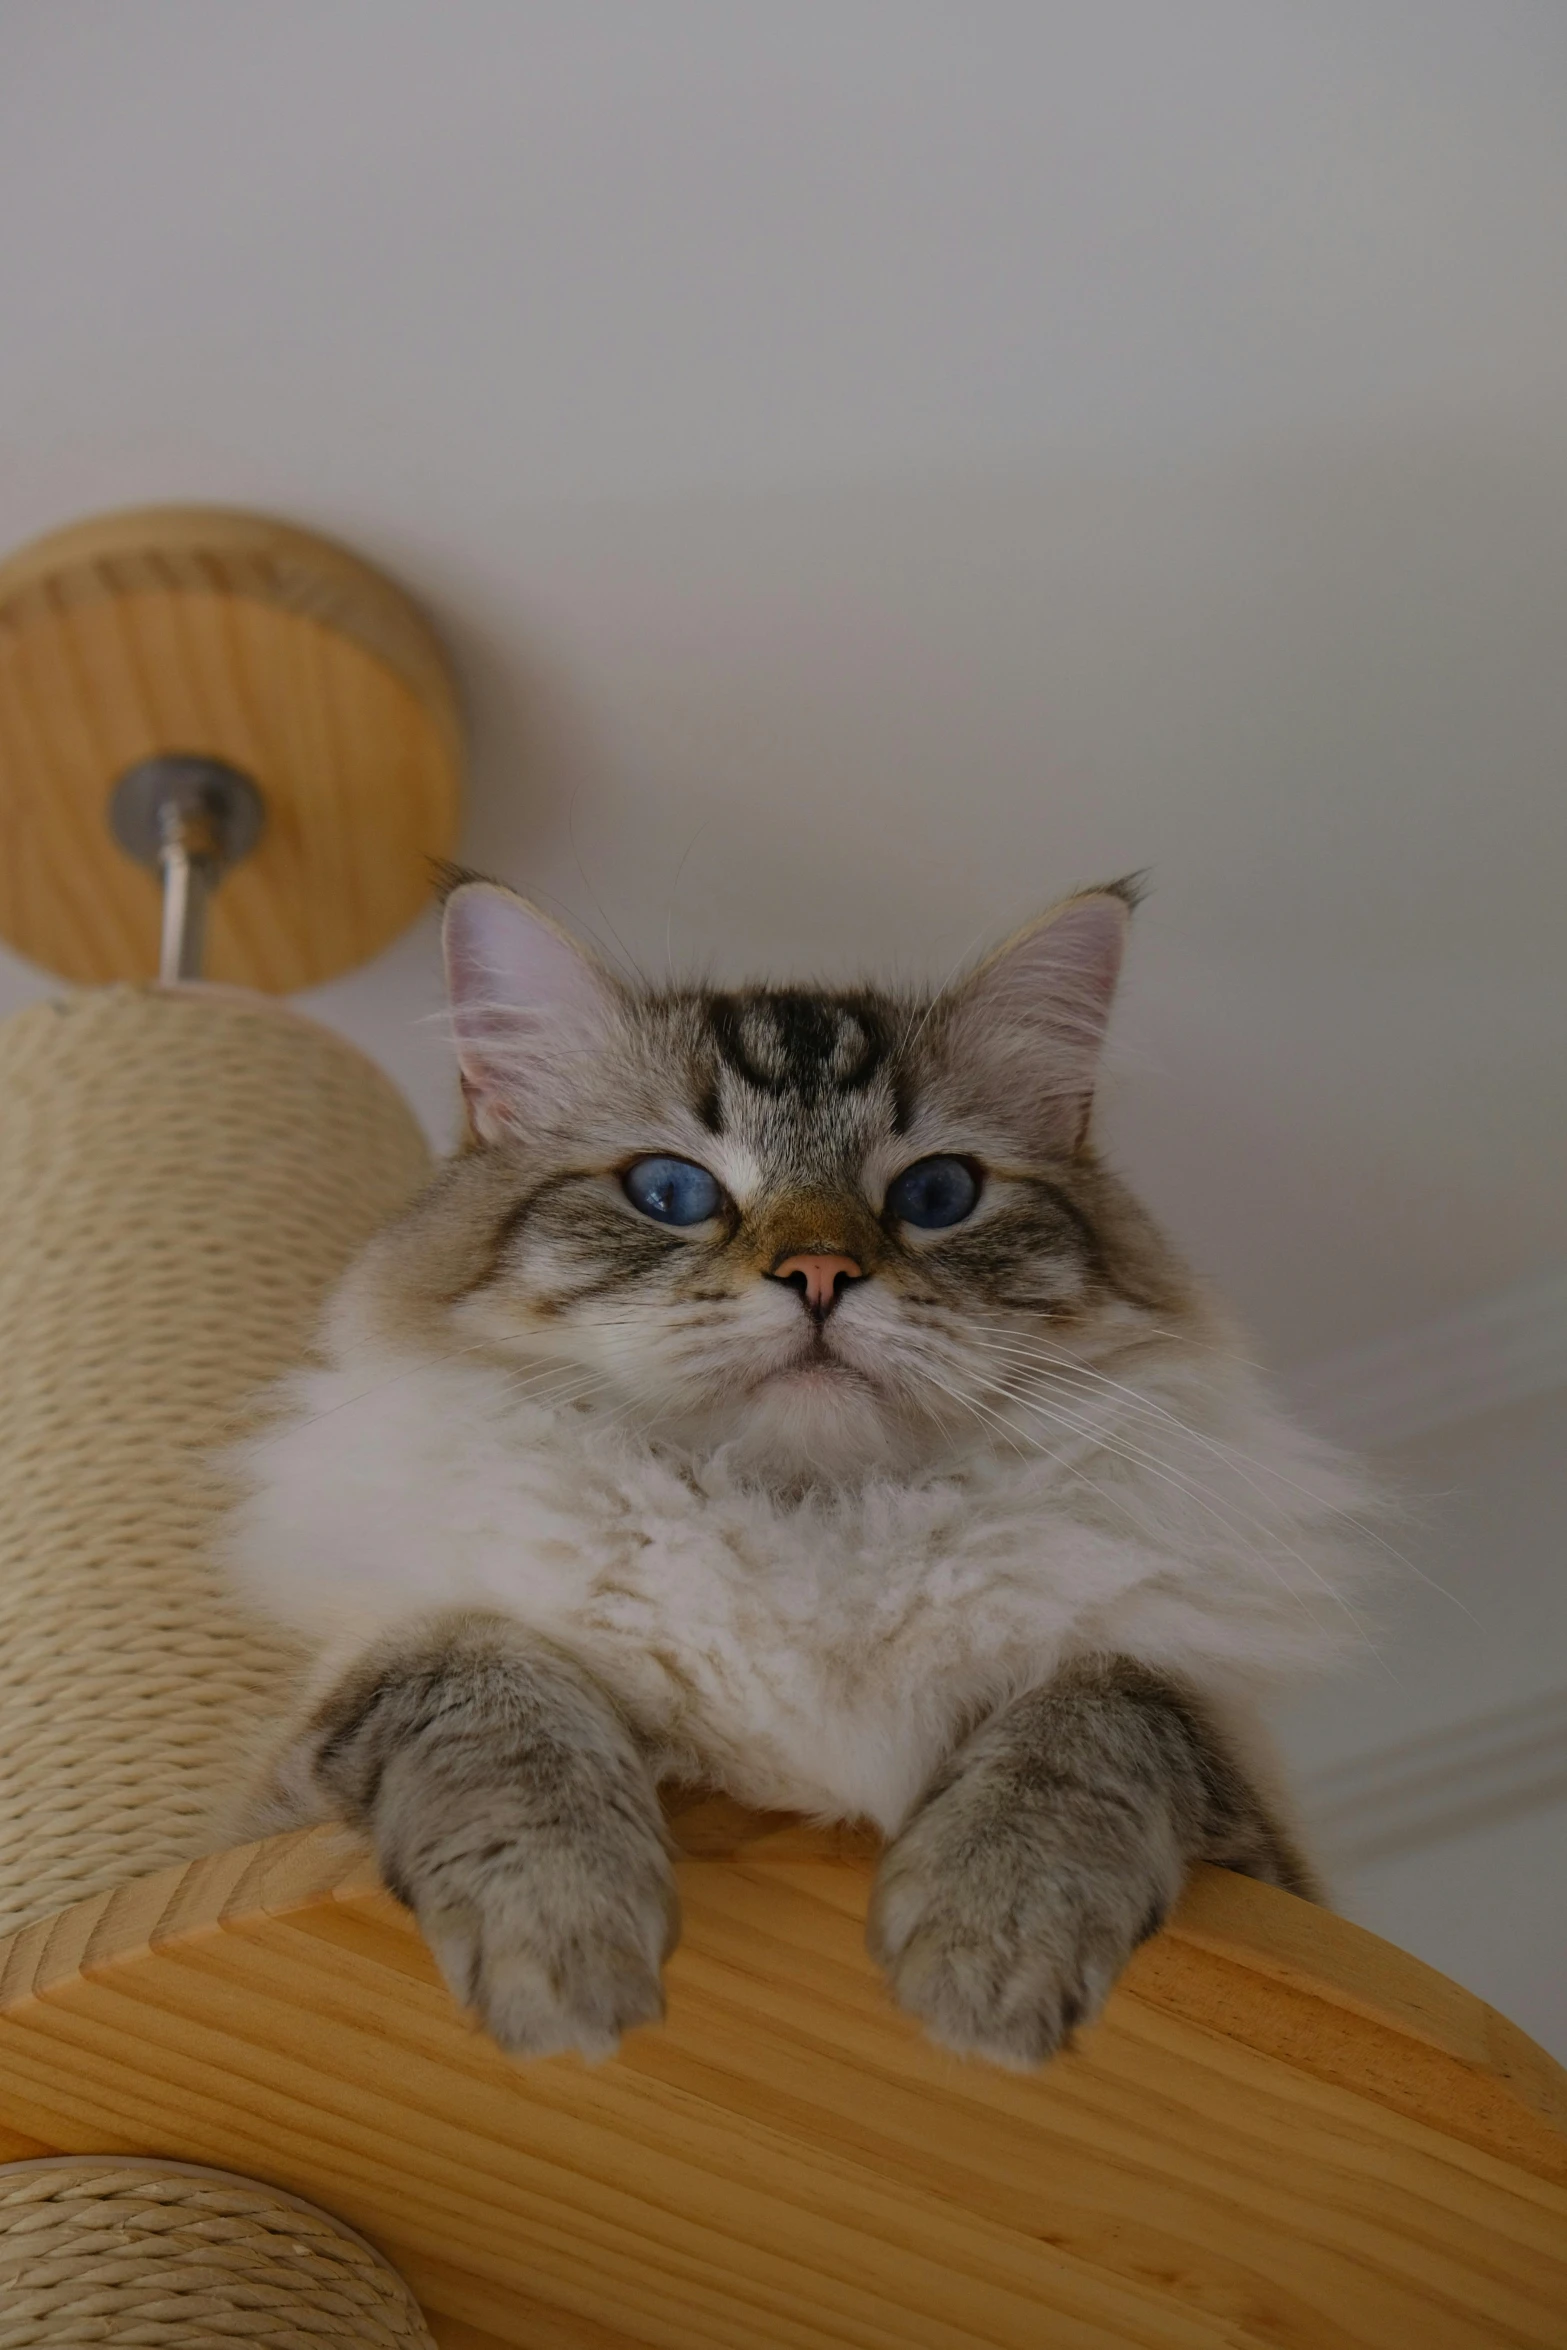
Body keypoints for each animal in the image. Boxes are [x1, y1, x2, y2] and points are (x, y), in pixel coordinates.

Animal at [220, 883, 1372, 2077]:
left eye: (937, 1193)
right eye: (670, 1191)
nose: (820, 1273)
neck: (805, 1522)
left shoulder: (1261, 1853)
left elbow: (1097, 1711)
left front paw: (984, 1968)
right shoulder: (297, 1789)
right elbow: (490, 1685)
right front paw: (565, 1957)